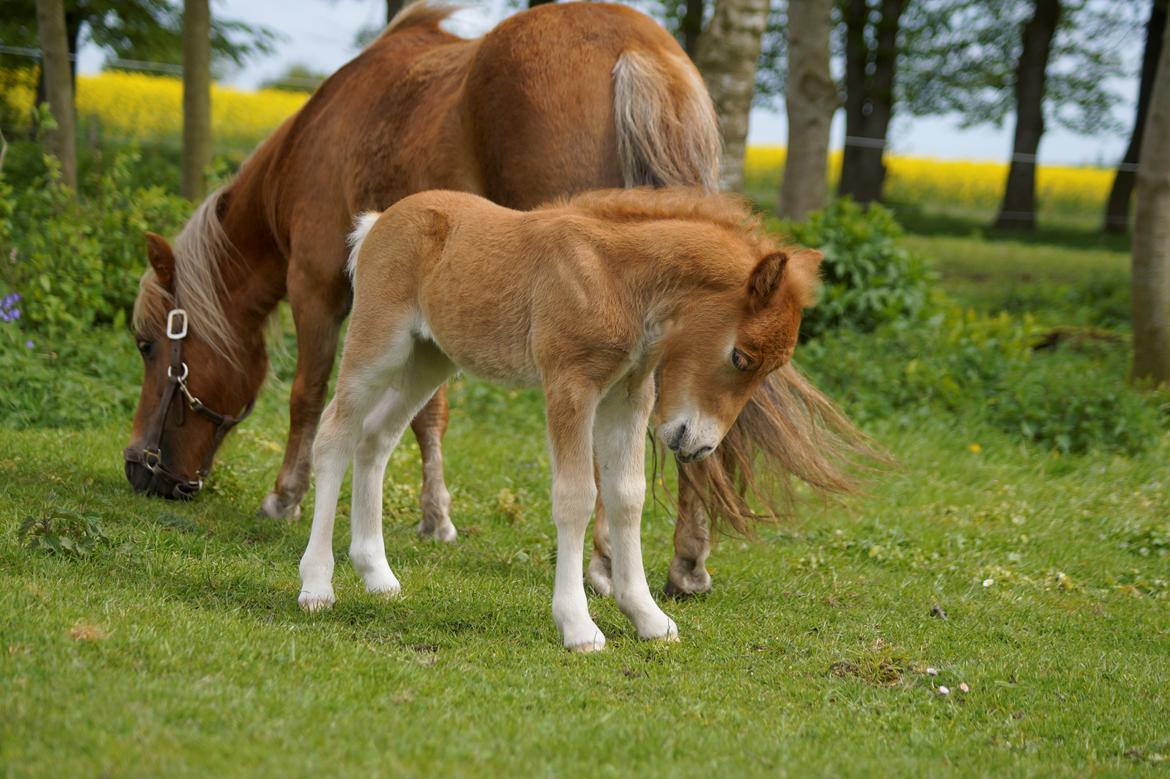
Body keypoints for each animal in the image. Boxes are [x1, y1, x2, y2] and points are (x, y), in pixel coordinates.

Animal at [123, 3, 865, 594]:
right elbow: (429, 415)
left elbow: (308, 394)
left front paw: (285, 498)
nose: (140, 470)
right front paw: (435, 517)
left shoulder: (317, 284)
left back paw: (604, 563)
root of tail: (638, 52)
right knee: (699, 437)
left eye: (149, 344)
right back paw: (686, 562)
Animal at [297, 188, 819, 650]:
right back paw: (317, 586)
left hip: (429, 358)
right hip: (378, 345)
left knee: (375, 438)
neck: (616, 276)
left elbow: (627, 496)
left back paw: (377, 576)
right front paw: (579, 627)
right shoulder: (571, 384)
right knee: (335, 436)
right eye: (740, 357)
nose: (699, 444)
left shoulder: (629, 395)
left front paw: (648, 618)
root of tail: (378, 222)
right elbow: (576, 497)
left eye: (771, 368)